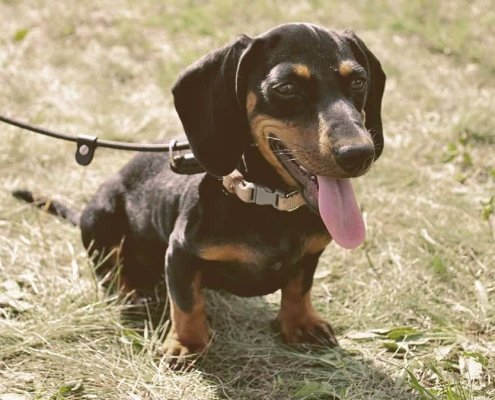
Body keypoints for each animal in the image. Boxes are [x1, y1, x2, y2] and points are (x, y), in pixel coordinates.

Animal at [13, 23, 388, 364]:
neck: (267, 202)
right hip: (100, 217)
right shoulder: (179, 253)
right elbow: (186, 302)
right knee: (111, 267)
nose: (359, 154)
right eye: (286, 88)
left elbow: (299, 286)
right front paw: (187, 343)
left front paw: (300, 322)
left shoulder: (311, 253)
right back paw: (133, 294)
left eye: (358, 81)